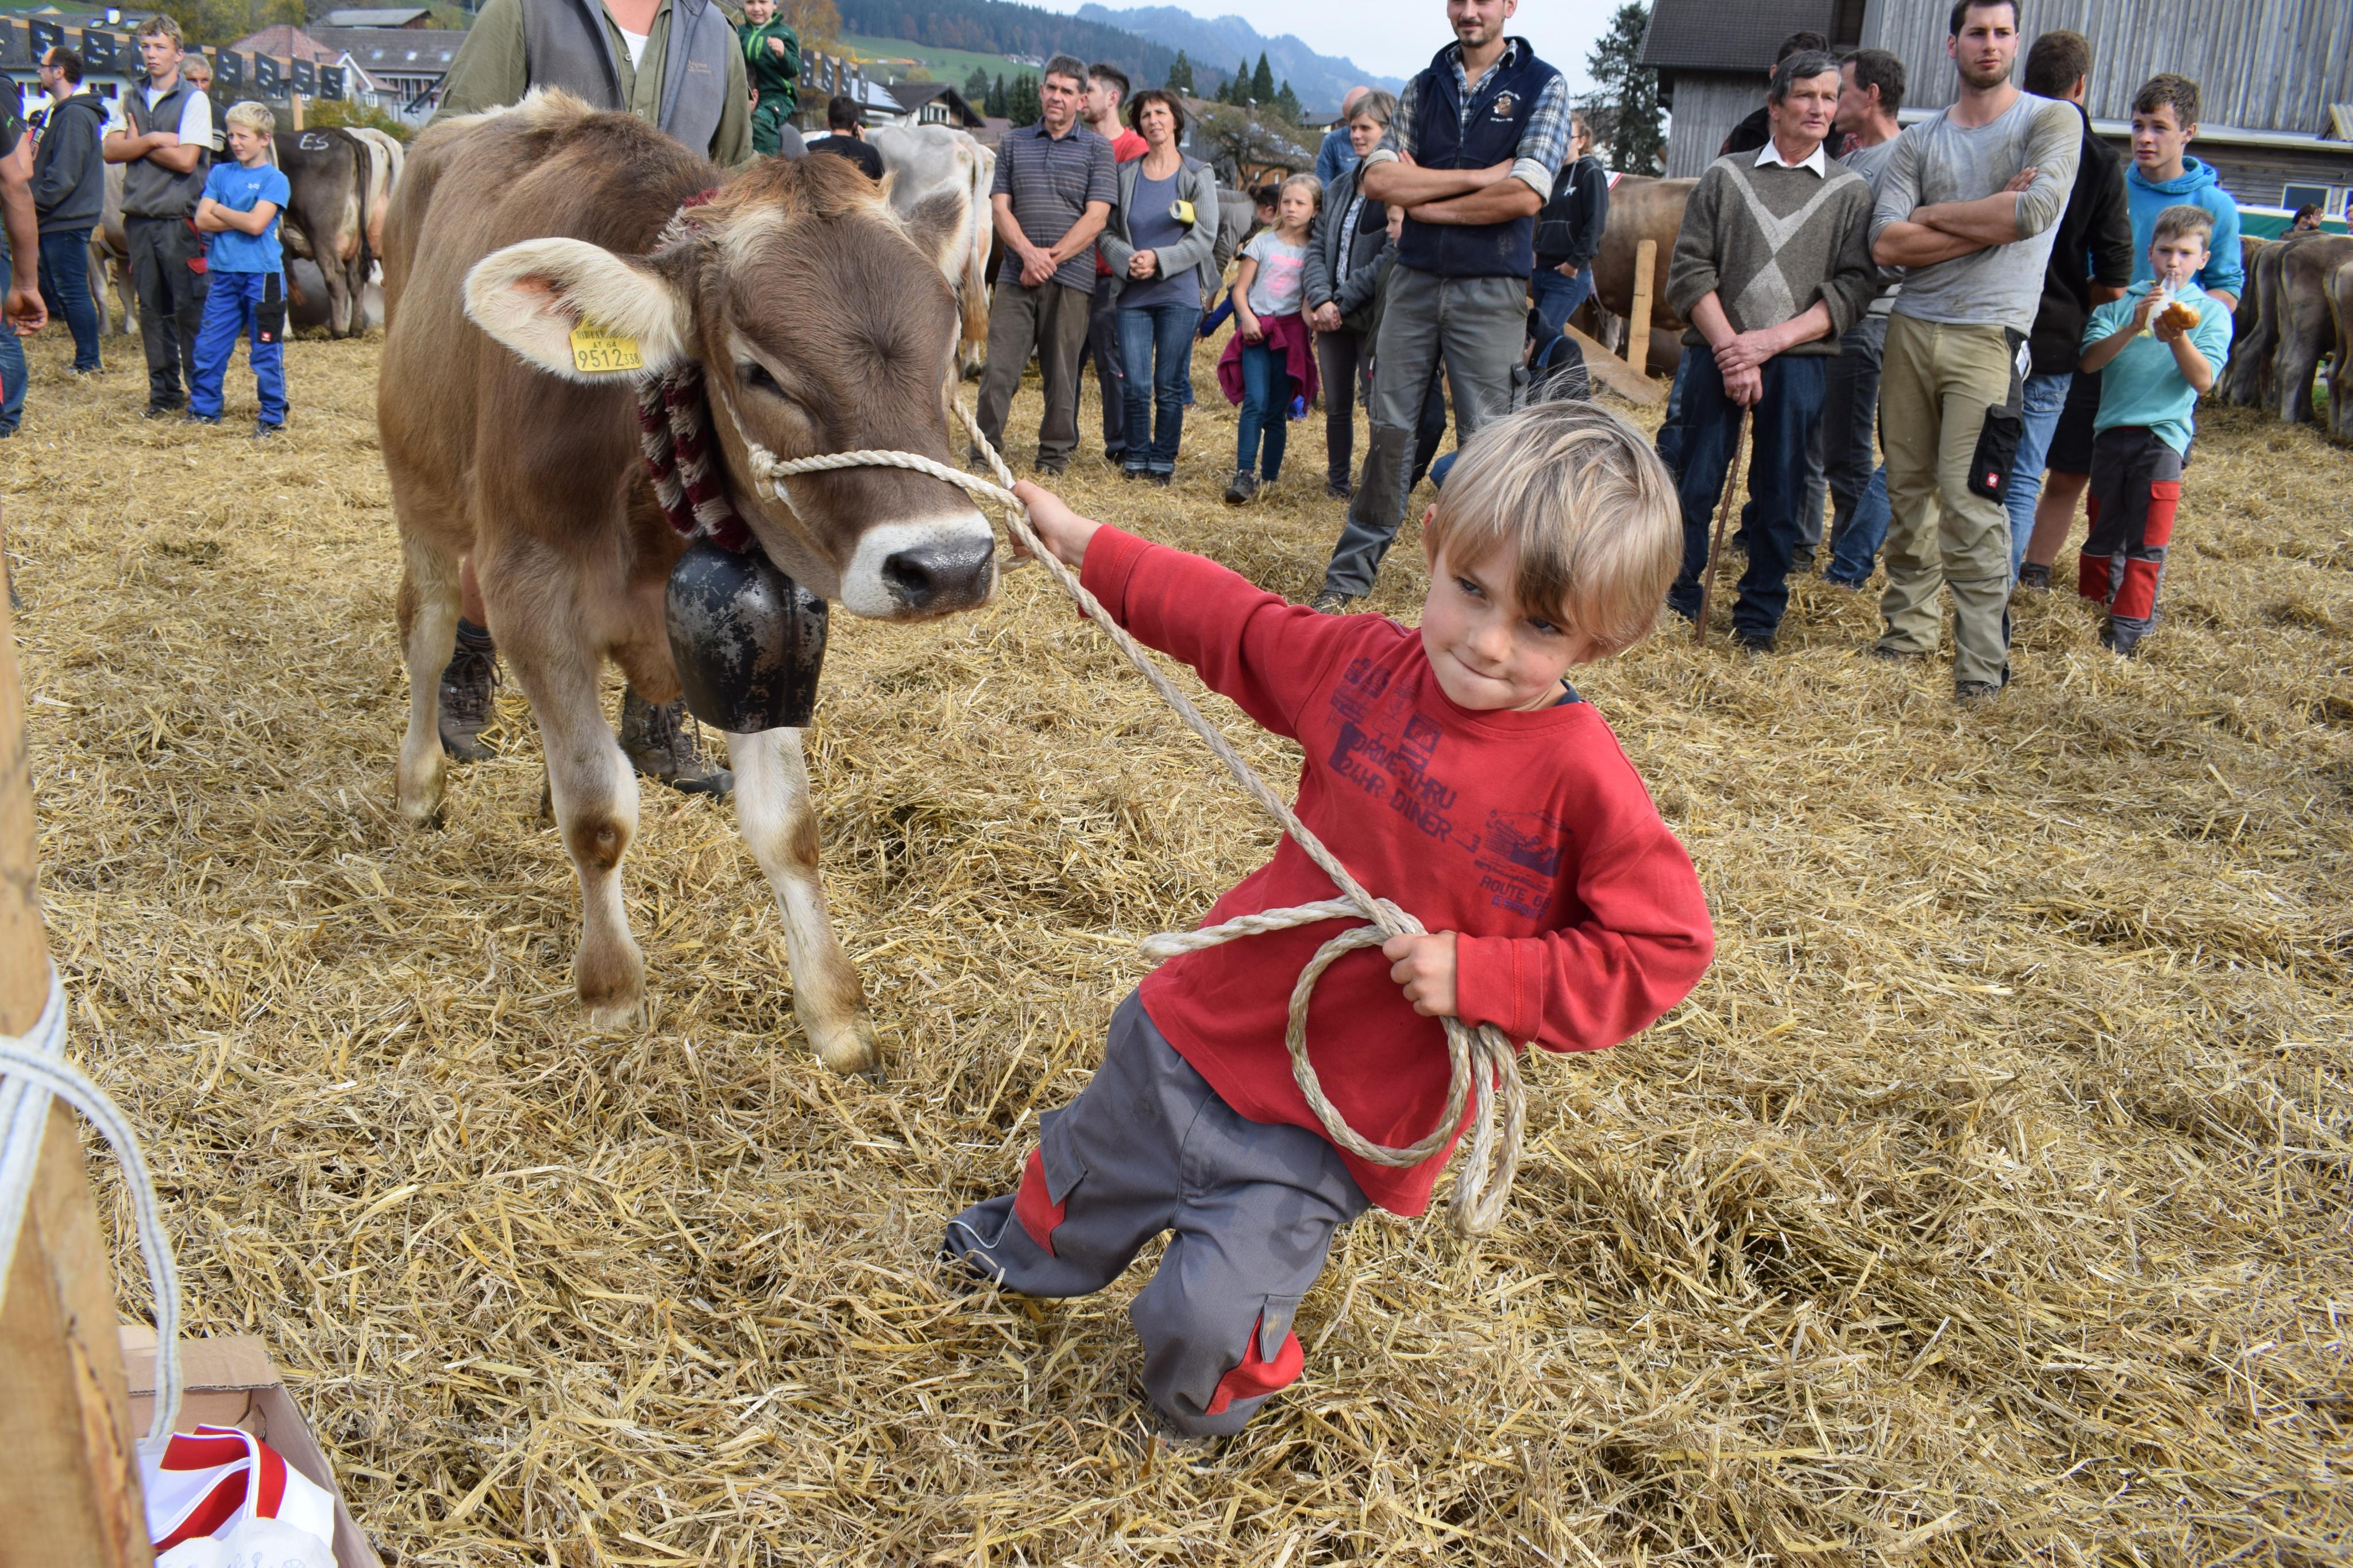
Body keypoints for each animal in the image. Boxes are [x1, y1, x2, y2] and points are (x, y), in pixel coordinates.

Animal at [275, 127, 374, 338]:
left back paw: (339, 330)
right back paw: (355, 328)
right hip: (354, 234)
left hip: (320, 228)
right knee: (355, 278)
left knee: (334, 273)